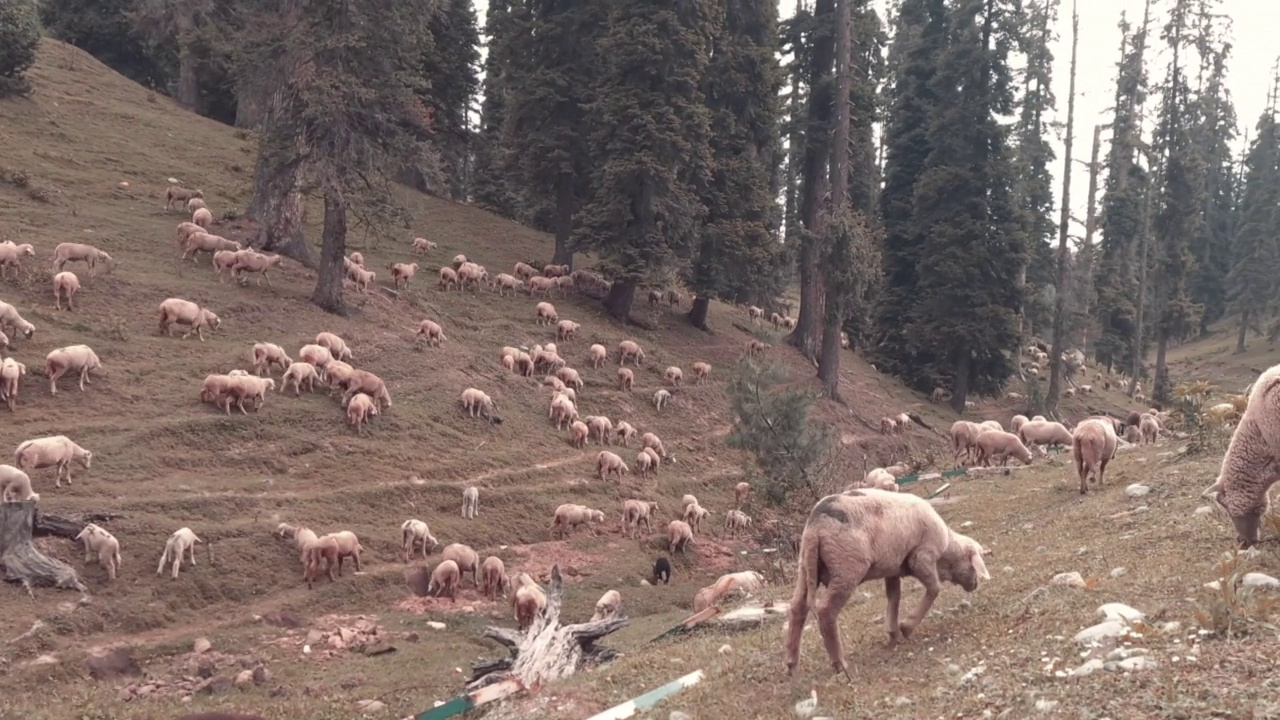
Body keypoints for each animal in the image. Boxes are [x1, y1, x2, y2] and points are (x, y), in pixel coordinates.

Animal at [778, 486, 988, 671]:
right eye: (973, 565)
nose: (975, 585)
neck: (946, 552)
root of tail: (816, 524)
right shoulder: (921, 558)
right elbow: (934, 589)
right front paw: (907, 627)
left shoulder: (892, 567)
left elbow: (894, 596)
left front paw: (894, 633)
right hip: (846, 568)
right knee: (826, 610)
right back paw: (839, 664)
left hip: (806, 567)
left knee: (797, 607)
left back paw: (791, 664)